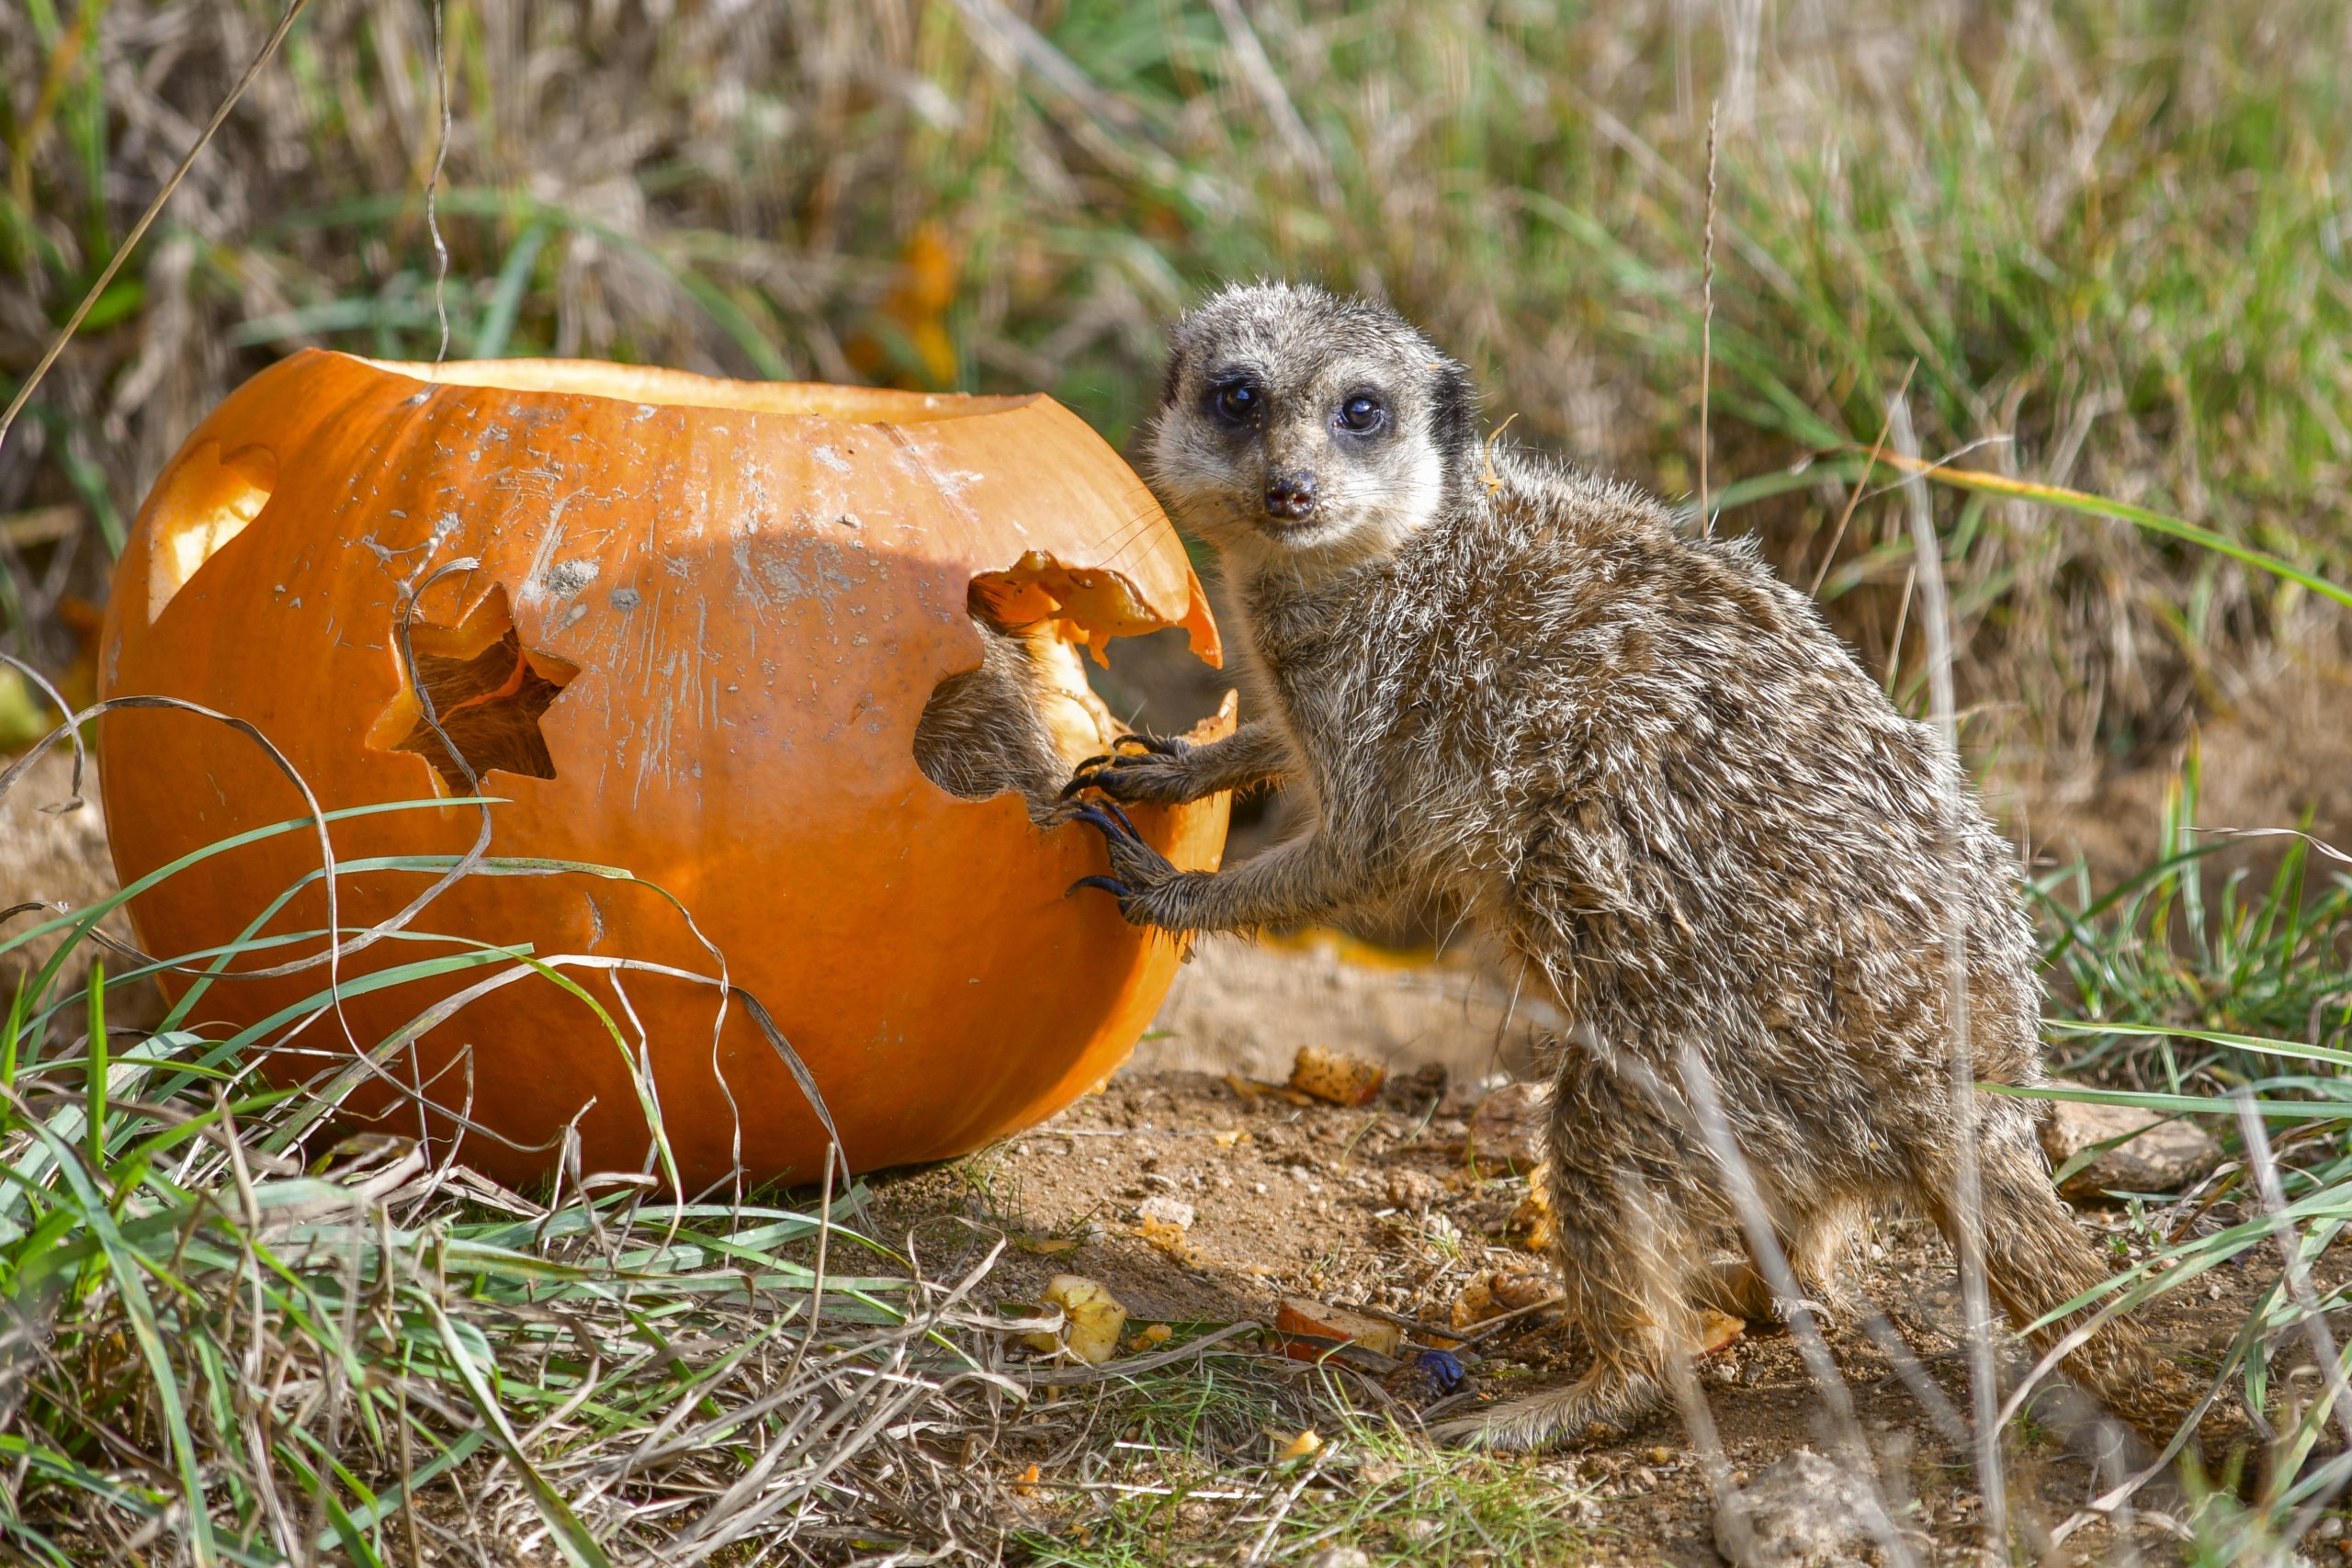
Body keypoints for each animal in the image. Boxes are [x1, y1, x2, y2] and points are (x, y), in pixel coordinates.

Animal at [1062, 281, 2224, 1460]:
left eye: (1360, 411)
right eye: (1236, 396)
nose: (1287, 488)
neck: (1399, 552)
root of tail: (1974, 1097)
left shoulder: (1391, 698)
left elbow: (1362, 853)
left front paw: (1171, 888)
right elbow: (1275, 750)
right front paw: (1177, 765)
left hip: (1697, 1062)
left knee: (1607, 1160)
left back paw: (1571, 1395)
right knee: (1804, 1246)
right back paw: (1759, 1287)